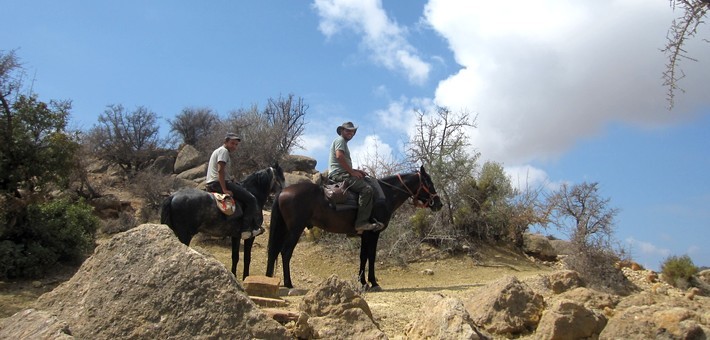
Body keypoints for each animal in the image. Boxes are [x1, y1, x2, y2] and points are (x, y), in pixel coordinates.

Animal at [268, 165, 444, 290]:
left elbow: (363, 256)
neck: (385, 195)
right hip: (295, 230)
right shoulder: (373, 233)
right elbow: (371, 256)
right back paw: (289, 283)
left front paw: (363, 282)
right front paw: (373, 282)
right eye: (428, 183)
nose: (439, 204)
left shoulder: (365, 234)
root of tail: (283, 191)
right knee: (286, 252)